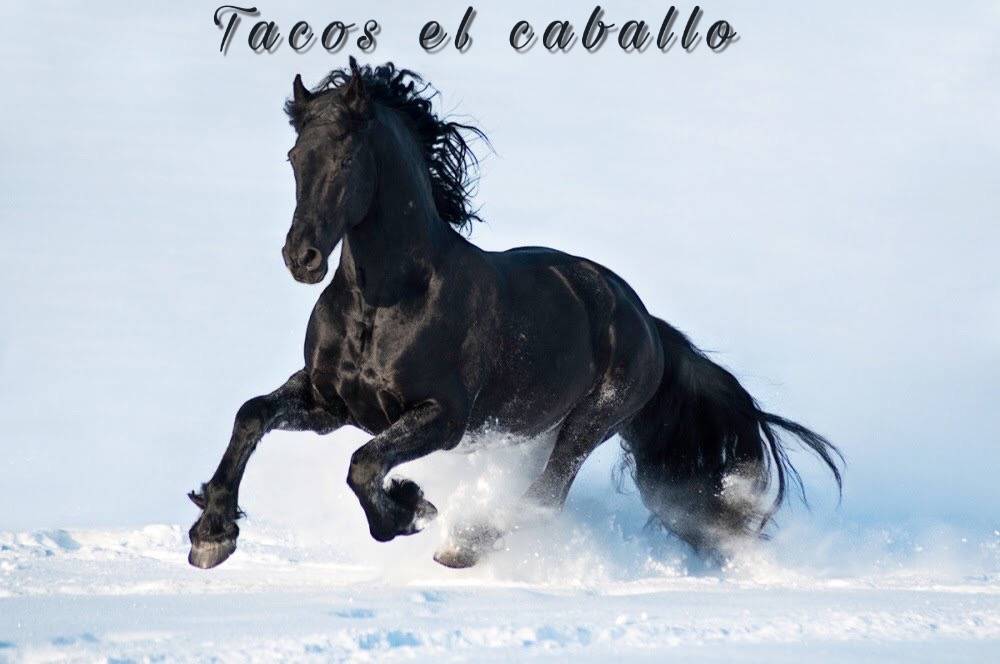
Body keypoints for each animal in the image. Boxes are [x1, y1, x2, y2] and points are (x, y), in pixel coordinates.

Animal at [187, 59, 843, 570]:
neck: (384, 303)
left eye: (346, 160)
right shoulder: (331, 404)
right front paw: (212, 534)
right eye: (294, 156)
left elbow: (363, 465)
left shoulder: (444, 418)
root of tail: (645, 322)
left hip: (588, 424)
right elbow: (252, 415)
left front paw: (411, 508)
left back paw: (465, 544)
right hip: (537, 426)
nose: (301, 257)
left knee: (545, 495)